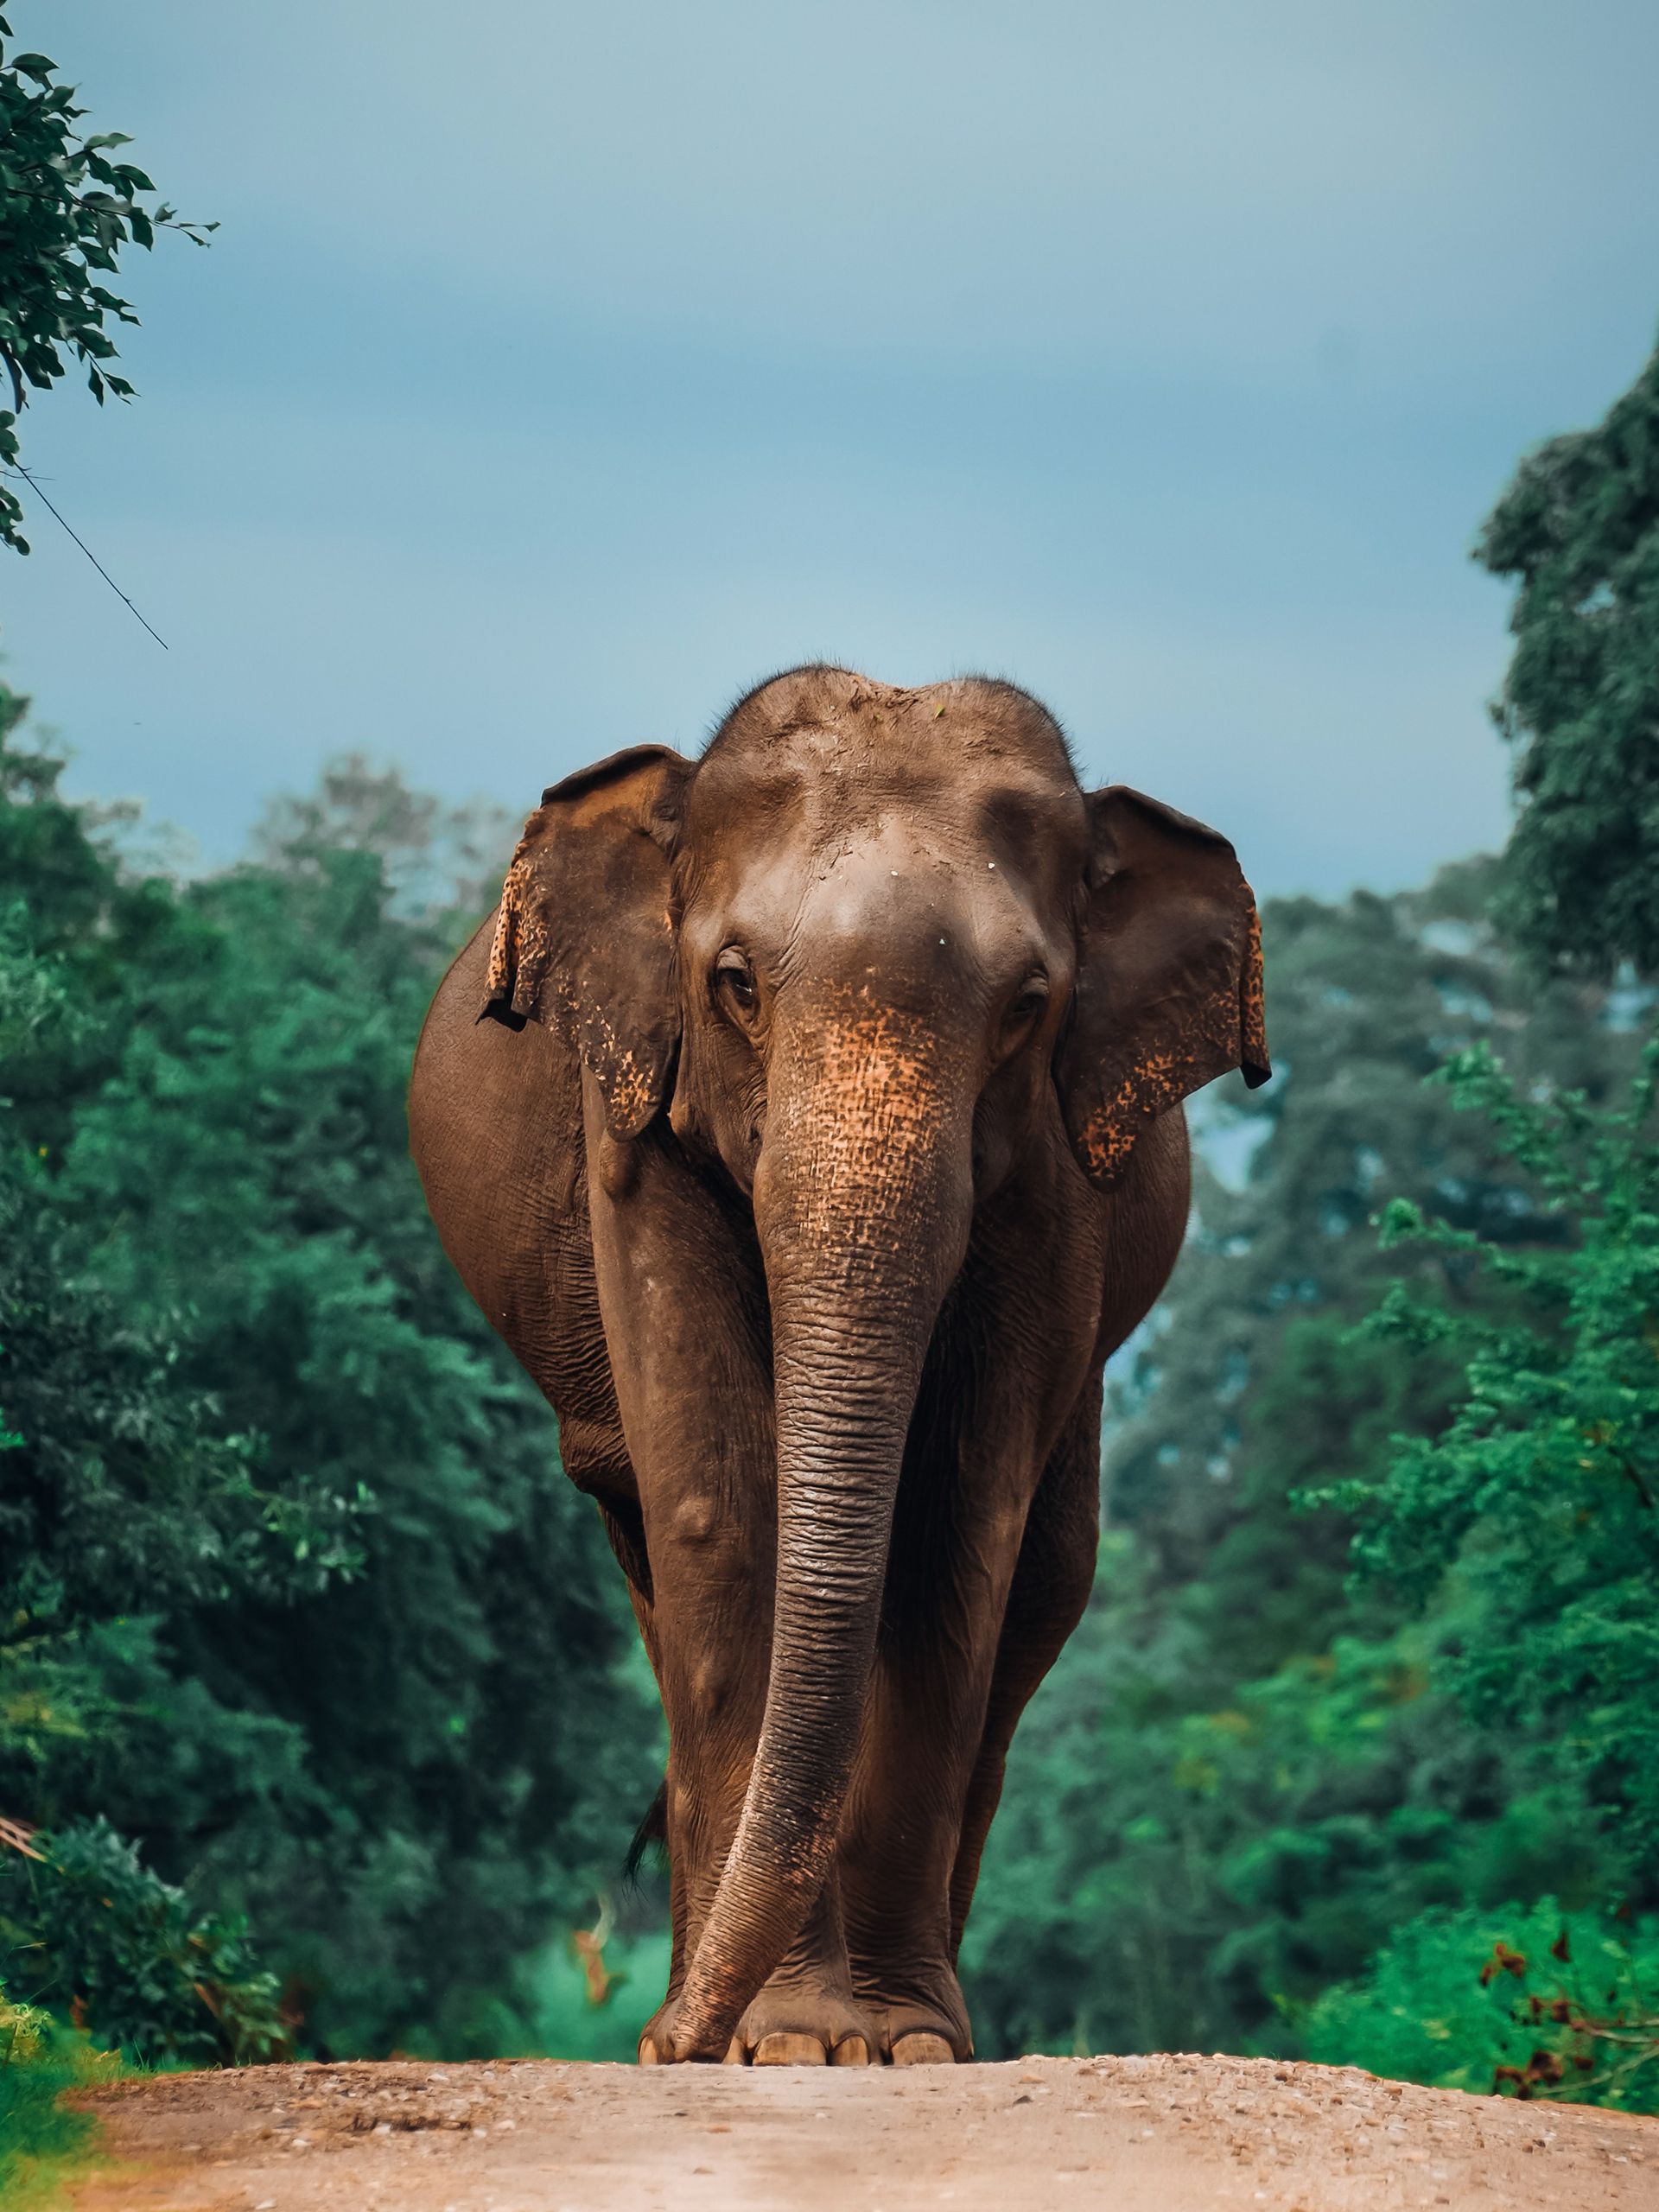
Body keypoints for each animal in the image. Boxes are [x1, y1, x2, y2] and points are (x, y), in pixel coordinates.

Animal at [407, 665, 1267, 2068]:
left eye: (1027, 1006)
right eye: (737, 984)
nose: (660, 2049)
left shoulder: (1059, 1176)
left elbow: (957, 1530)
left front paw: (895, 2042)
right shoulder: (632, 1128)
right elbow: (718, 1505)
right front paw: (787, 2044)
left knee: (1046, 1585)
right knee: (647, 1559)